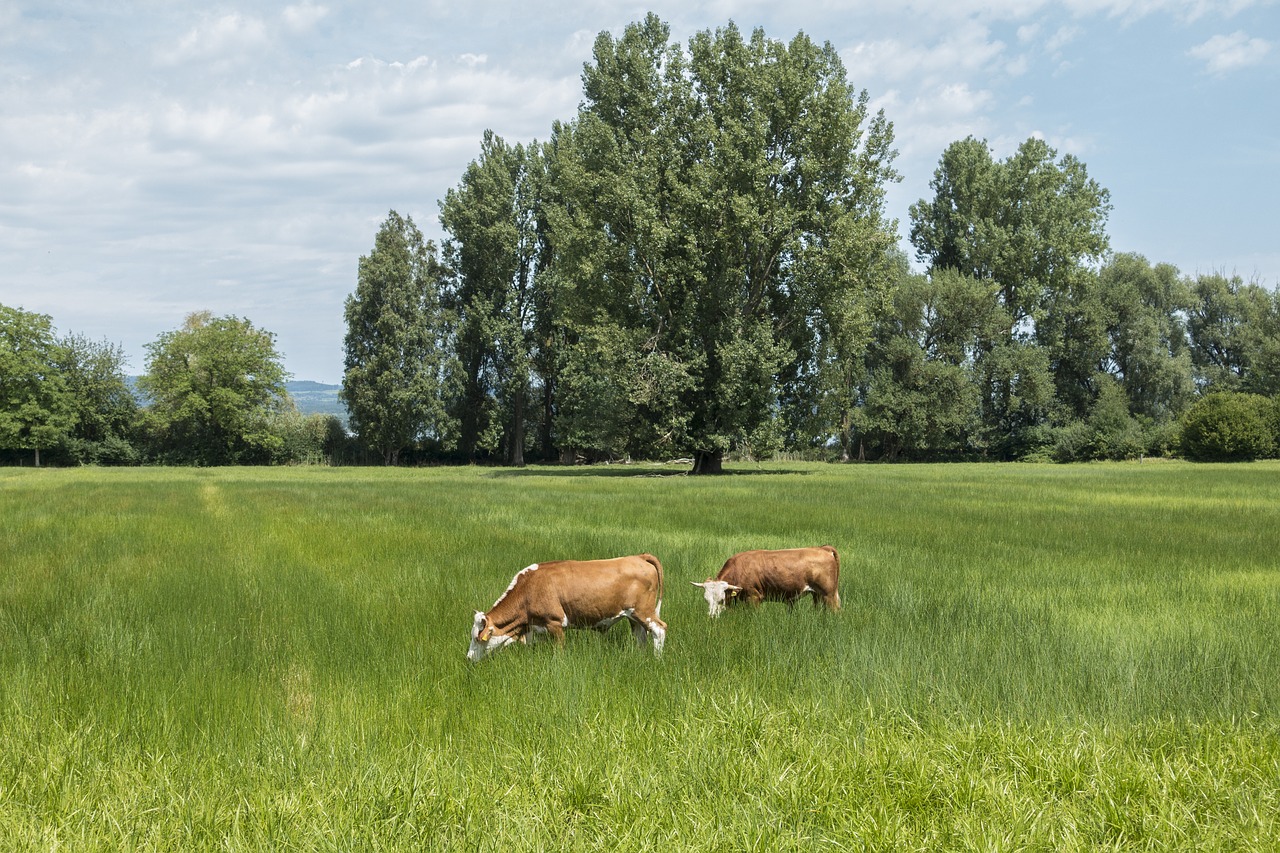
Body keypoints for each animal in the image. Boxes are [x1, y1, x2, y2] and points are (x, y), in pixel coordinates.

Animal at [471, 550, 670, 666]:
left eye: (477, 638)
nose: (468, 658)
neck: (529, 588)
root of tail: (639, 557)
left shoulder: (554, 623)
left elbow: (558, 652)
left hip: (644, 612)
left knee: (659, 630)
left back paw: (657, 660)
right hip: (633, 617)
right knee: (641, 636)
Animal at [691, 548, 839, 614]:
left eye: (721, 600)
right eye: (706, 600)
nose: (711, 616)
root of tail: (822, 548)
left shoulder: (754, 598)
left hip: (829, 595)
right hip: (817, 595)